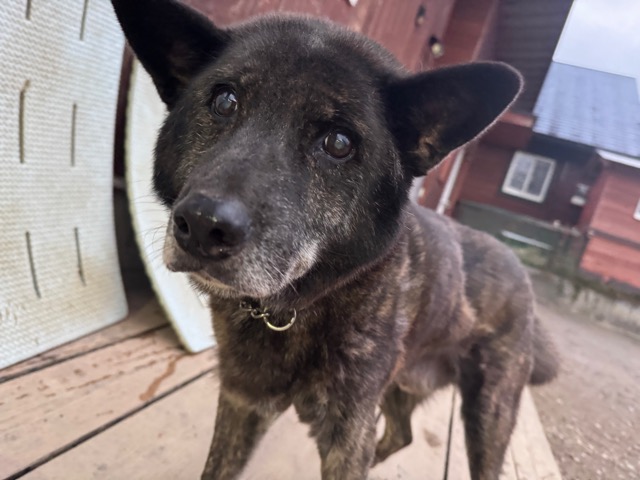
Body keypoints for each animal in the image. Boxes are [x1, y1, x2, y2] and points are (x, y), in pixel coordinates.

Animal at [111, 1, 559, 479]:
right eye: (224, 101)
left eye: (339, 142)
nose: (201, 225)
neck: (295, 311)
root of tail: (518, 267)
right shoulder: (242, 403)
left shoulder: (347, 432)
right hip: (401, 385)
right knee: (402, 434)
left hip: (488, 413)